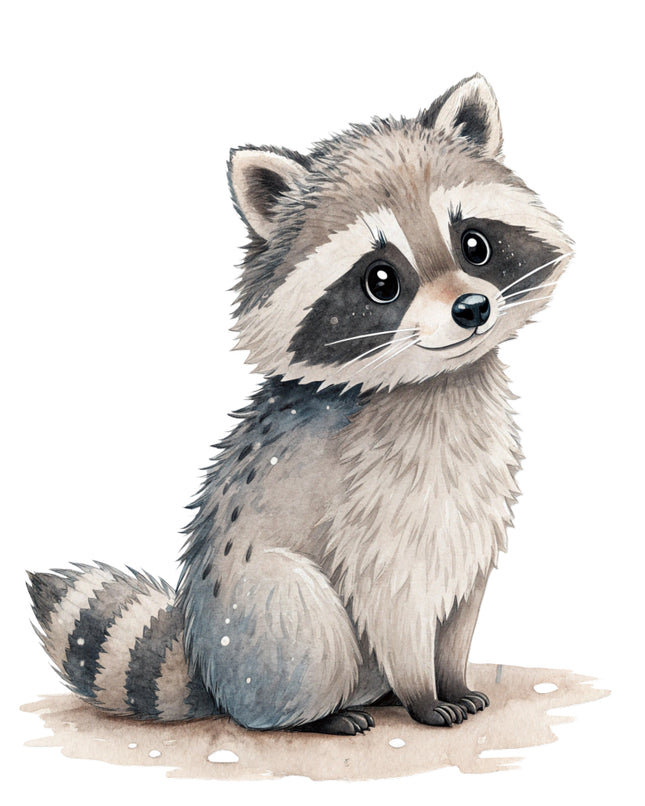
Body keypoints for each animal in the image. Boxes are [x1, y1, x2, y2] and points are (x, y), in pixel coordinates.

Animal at [28, 75, 572, 734]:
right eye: (381, 280)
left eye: (474, 244)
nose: (472, 310)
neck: (438, 380)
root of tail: (209, 670)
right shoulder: (373, 506)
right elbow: (390, 601)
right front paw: (422, 693)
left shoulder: (472, 508)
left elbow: (462, 603)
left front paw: (452, 676)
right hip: (261, 627)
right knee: (301, 611)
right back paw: (322, 713)